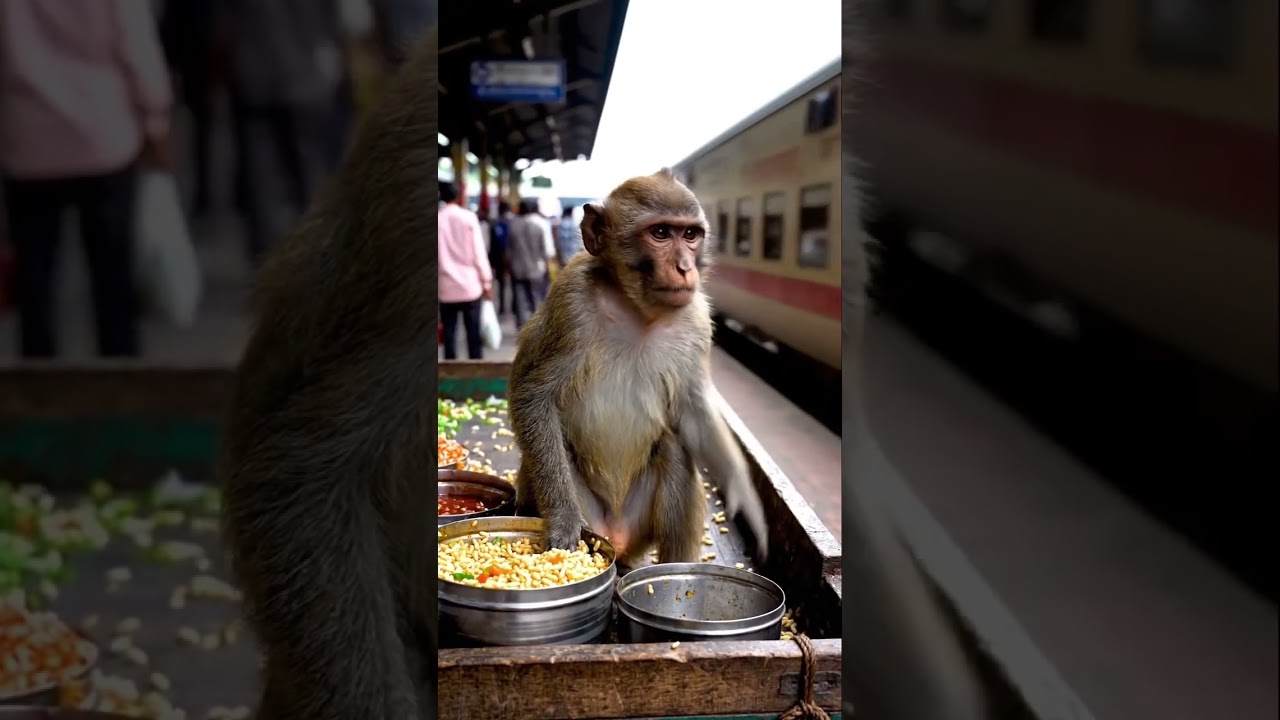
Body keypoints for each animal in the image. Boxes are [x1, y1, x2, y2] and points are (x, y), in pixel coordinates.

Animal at [507, 169, 769, 569]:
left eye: (690, 235)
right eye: (660, 233)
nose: (685, 268)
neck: (635, 308)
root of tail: (616, 535)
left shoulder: (697, 317)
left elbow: (693, 409)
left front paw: (745, 497)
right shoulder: (572, 301)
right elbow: (534, 398)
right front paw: (563, 521)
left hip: (639, 526)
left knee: (674, 447)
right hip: (593, 518)